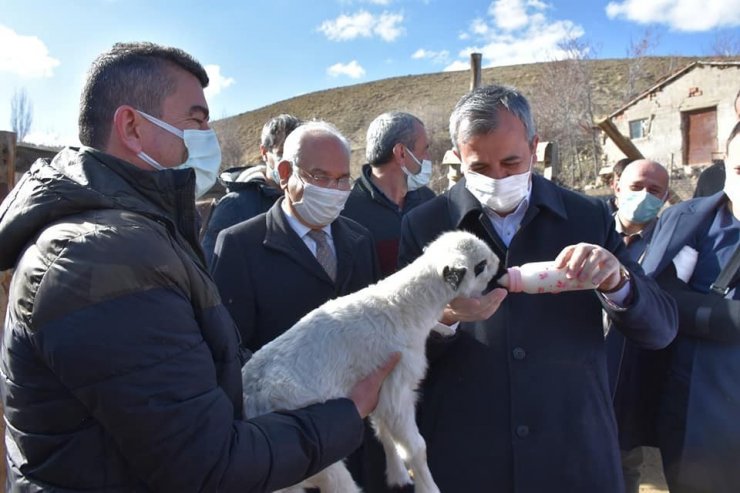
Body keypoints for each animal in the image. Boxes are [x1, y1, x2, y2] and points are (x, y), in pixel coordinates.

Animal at [241, 231, 498, 492]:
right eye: (480, 266)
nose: (499, 263)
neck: (402, 306)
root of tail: (252, 399)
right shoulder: (397, 387)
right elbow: (417, 448)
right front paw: (428, 487)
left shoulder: (380, 390)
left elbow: (383, 430)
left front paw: (398, 475)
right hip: (319, 459)